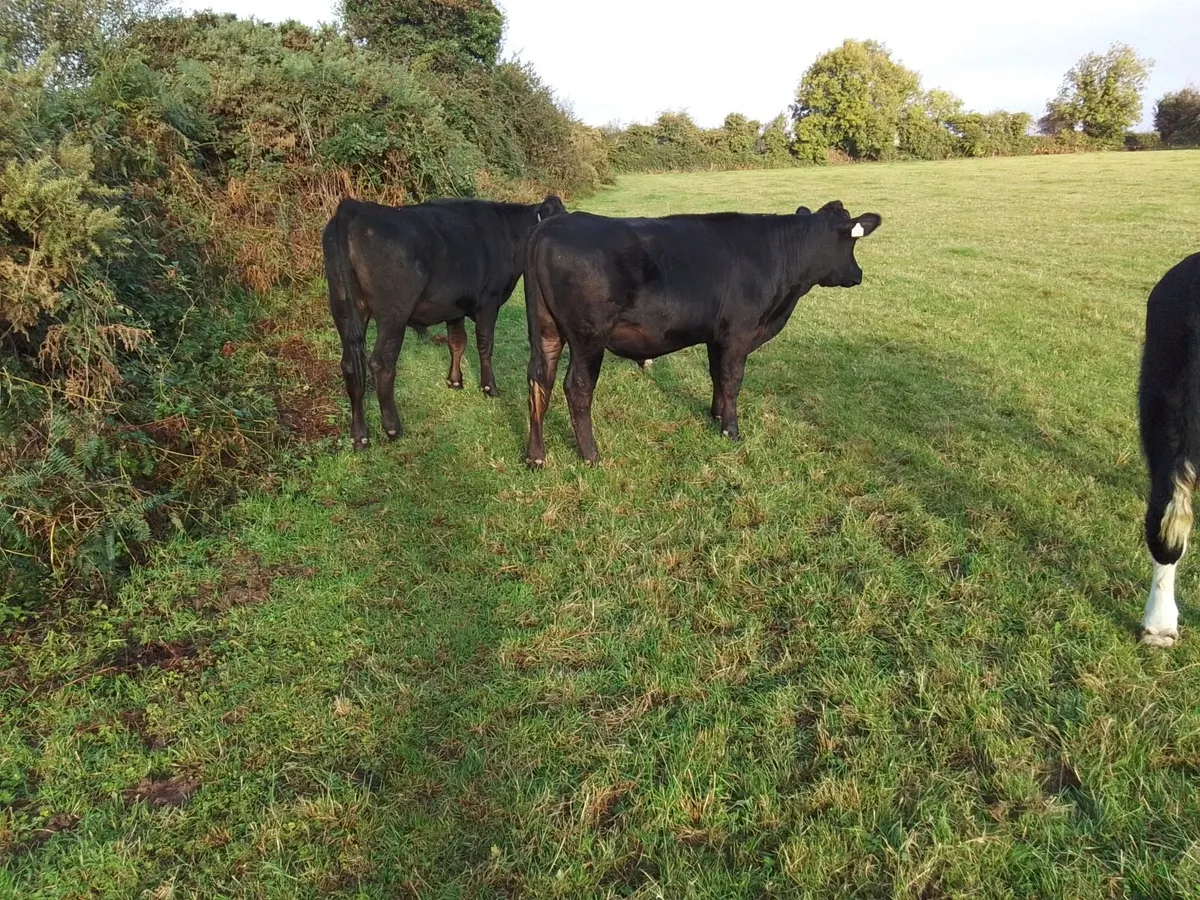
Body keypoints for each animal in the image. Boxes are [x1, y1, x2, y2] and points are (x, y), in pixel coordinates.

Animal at [323, 194, 567, 449]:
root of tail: (355, 208)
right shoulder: (489, 302)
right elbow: (485, 344)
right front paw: (489, 387)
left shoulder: (454, 308)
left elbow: (457, 343)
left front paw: (455, 381)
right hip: (393, 315)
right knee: (381, 365)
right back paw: (392, 428)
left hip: (342, 308)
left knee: (351, 365)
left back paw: (359, 435)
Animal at [522, 200, 882, 467]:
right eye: (852, 241)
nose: (858, 275)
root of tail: (552, 224)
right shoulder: (739, 334)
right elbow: (733, 380)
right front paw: (731, 431)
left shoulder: (717, 336)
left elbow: (717, 375)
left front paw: (715, 415)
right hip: (589, 338)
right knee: (577, 387)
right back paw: (591, 455)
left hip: (545, 331)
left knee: (540, 380)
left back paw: (536, 455)